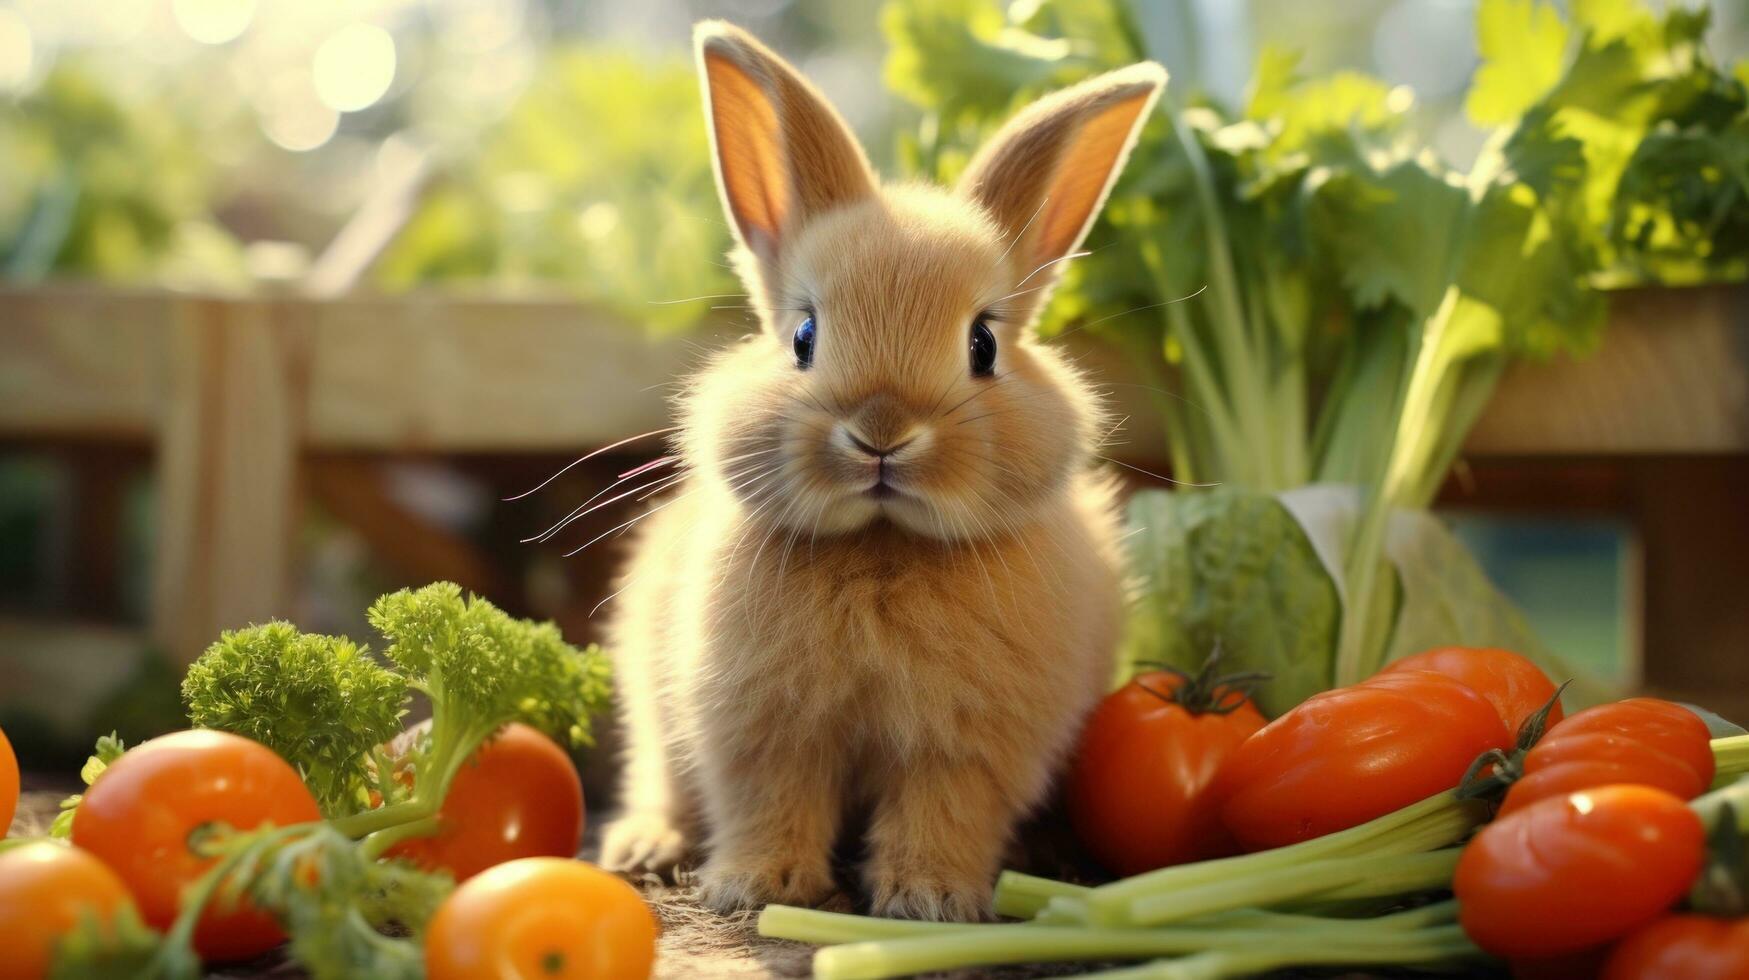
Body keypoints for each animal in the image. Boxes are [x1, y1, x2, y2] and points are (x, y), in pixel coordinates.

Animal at [598, 17, 1161, 917]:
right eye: (803, 336)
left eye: (982, 344)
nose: (882, 433)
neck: (883, 544)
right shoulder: (761, 728)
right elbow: (769, 799)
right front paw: (759, 886)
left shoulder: (965, 747)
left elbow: (943, 810)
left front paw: (926, 899)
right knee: (662, 781)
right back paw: (647, 848)